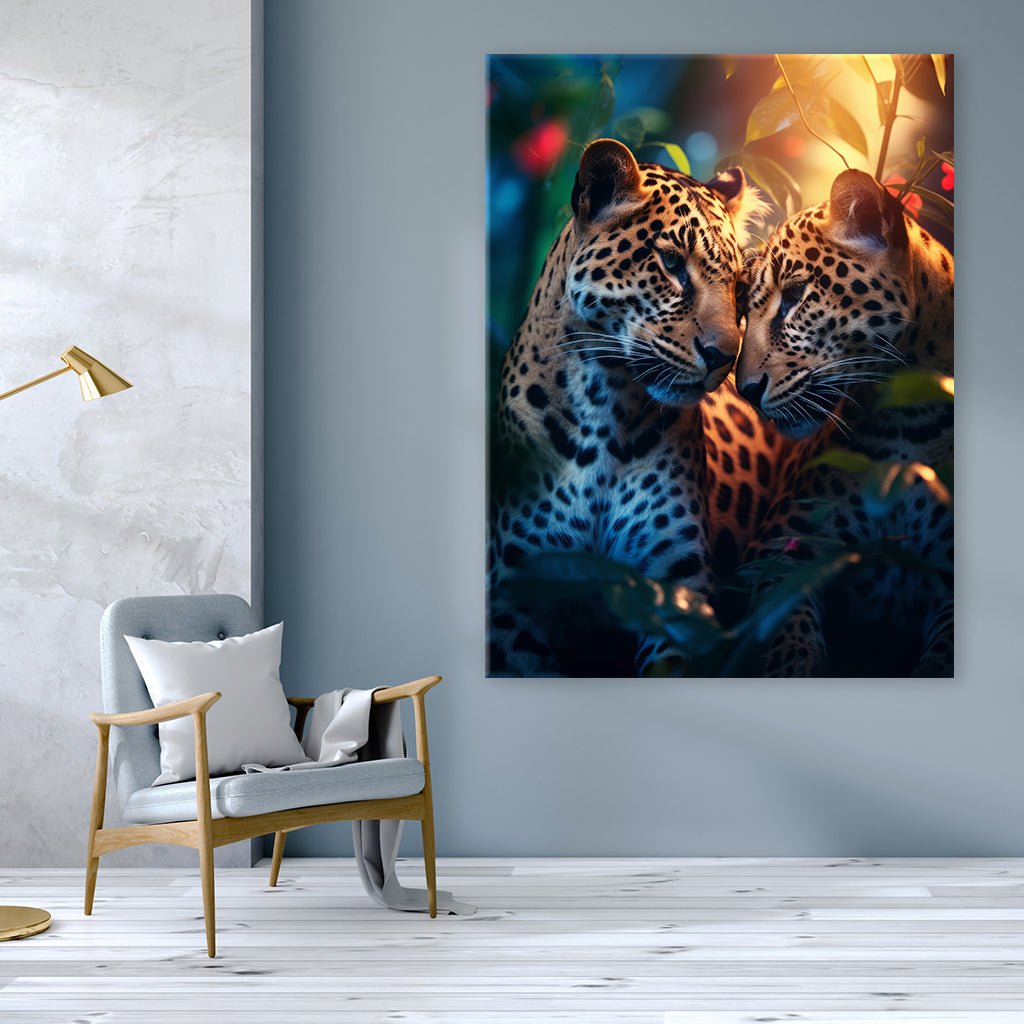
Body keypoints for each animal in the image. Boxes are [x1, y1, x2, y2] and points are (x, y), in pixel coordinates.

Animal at [487, 138, 766, 677]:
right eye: (672, 265)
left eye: (741, 289)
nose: (724, 357)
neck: (605, 404)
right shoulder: (516, 595)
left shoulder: (676, 585)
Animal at [729, 168, 954, 677]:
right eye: (744, 309)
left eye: (795, 297)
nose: (745, 389)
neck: (909, 417)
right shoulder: (776, 550)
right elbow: (787, 635)